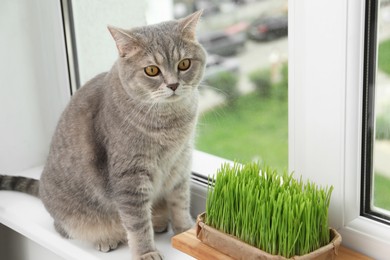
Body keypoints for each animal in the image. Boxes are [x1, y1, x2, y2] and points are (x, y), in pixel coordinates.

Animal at [0, 10, 207, 260]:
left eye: (184, 64)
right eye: (152, 70)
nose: (174, 85)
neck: (171, 120)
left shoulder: (181, 163)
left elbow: (181, 202)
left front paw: (185, 230)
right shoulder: (129, 178)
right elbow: (138, 223)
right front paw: (146, 252)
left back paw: (158, 221)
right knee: (64, 228)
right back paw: (105, 238)